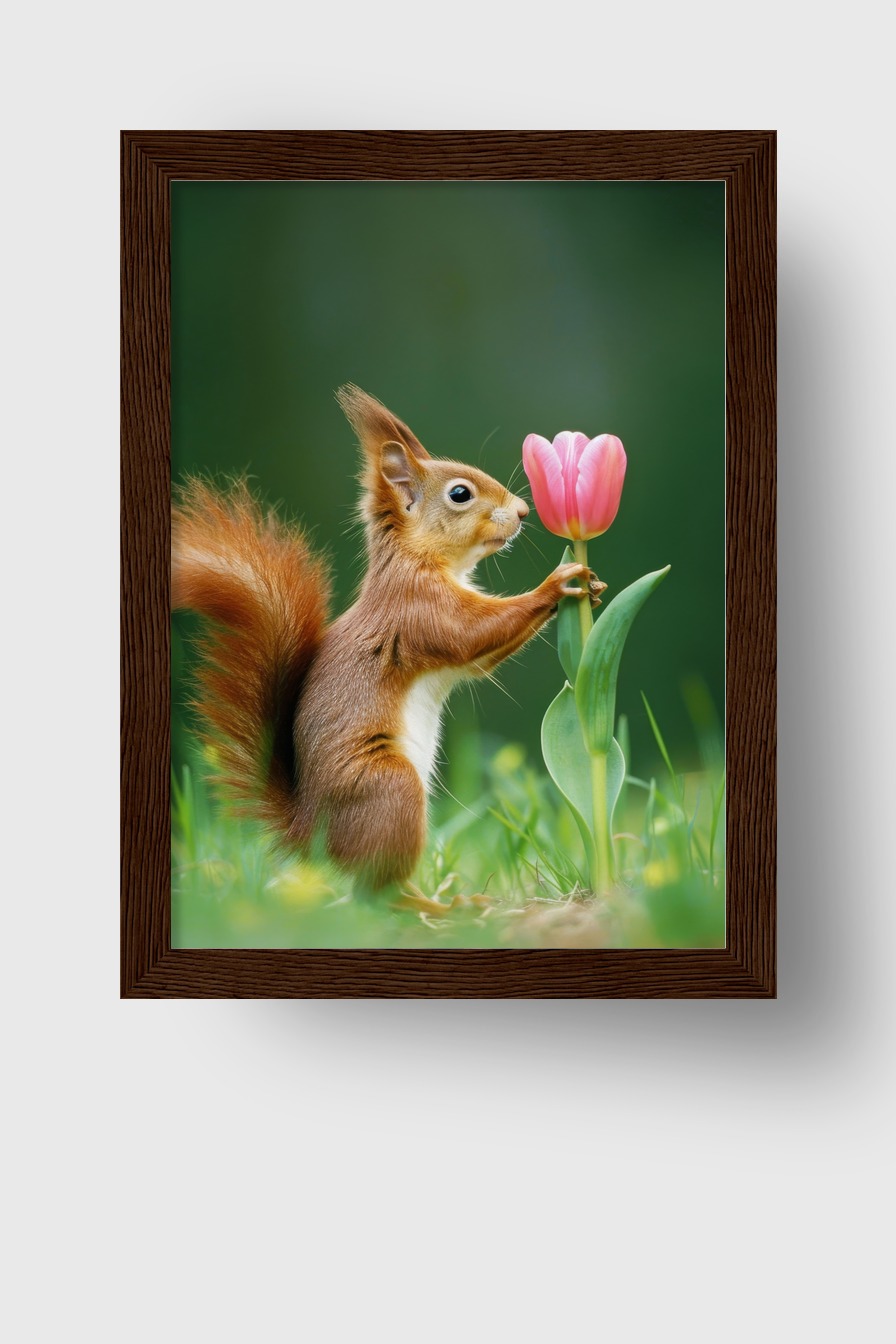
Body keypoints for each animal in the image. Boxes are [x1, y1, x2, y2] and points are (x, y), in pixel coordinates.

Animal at [172, 385, 595, 891]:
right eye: (460, 494)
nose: (523, 511)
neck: (418, 560)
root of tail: (313, 837)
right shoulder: (418, 611)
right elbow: (472, 632)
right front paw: (557, 584)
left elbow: (479, 655)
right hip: (390, 786)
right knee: (375, 890)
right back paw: (439, 902)